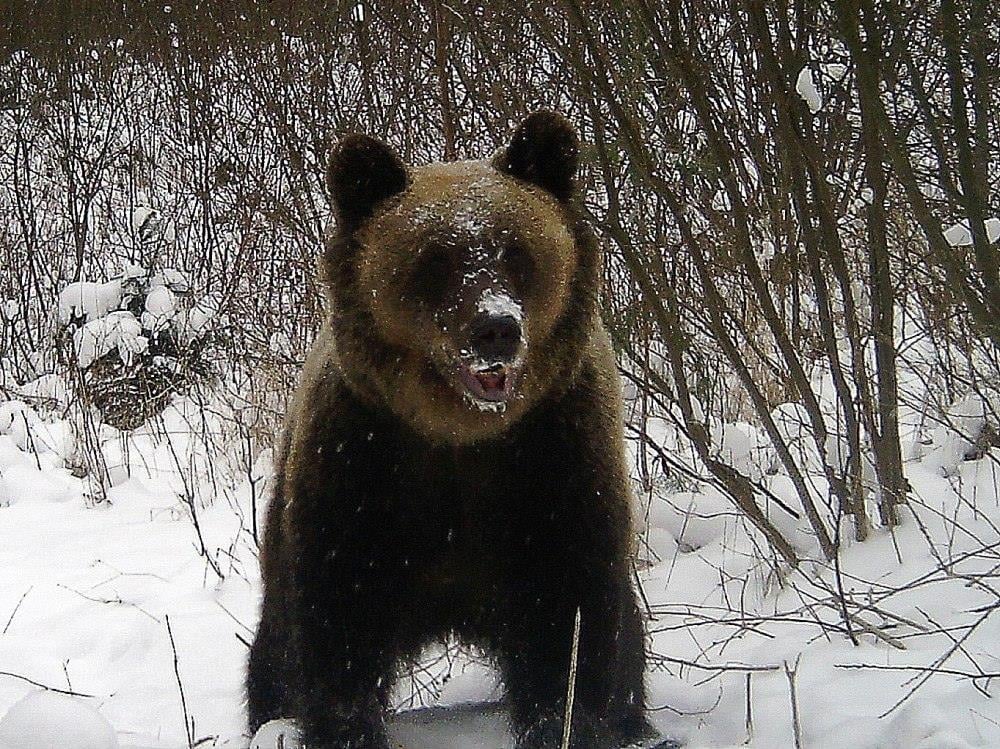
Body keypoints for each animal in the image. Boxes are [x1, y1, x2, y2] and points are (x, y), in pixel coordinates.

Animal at [247, 111, 656, 748]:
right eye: (434, 258)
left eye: (516, 251)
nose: (496, 328)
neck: (460, 436)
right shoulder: (362, 466)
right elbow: (339, 630)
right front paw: (347, 728)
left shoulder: (554, 457)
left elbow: (570, 620)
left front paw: (565, 723)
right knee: (272, 654)